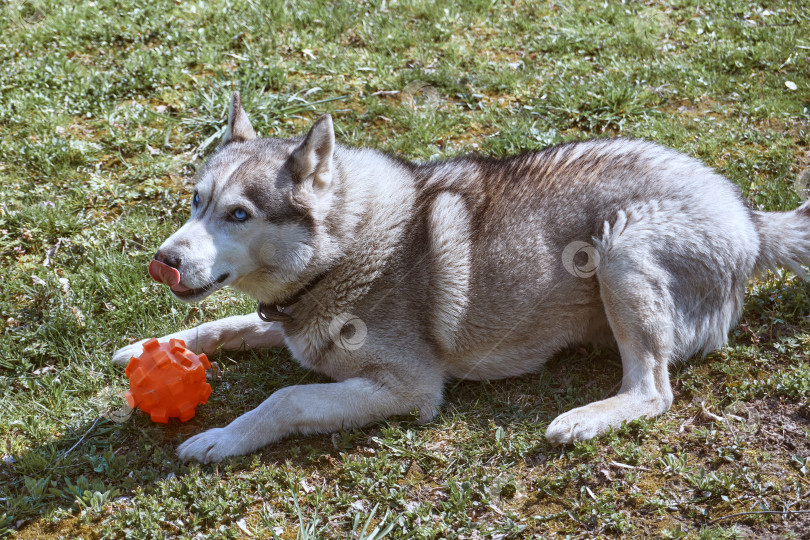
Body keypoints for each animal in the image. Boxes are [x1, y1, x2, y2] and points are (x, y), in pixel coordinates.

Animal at [112, 90, 808, 462]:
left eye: (239, 214)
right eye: (195, 201)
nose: (163, 260)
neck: (347, 244)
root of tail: (751, 219)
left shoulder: (409, 388)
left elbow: (287, 397)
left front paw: (220, 439)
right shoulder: (283, 323)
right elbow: (227, 323)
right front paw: (151, 347)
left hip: (621, 250)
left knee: (654, 390)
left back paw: (585, 418)